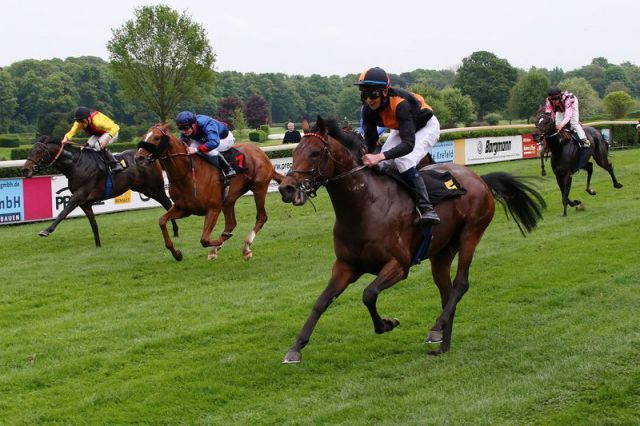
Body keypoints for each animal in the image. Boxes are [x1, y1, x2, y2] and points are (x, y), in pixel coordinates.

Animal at [22, 135, 178, 248]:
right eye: (30, 150)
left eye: (39, 151)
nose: (25, 169)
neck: (75, 165)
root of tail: (150, 157)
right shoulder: (85, 203)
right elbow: (94, 225)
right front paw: (98, 245)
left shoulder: (79, 195)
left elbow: (63, 212)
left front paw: (46, 230)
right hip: (144, 189)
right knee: (164, 203)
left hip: (155, 186)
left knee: (167, 202)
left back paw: (175, 230)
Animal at [134, 123, 284, 262]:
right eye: (144, 136)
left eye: (157, 137)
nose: (138, 157)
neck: (186, 173)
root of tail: (260, 152)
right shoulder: (183, 209)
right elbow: (162, 221)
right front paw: (177, 253)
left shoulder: (213, 208)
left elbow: (204, 239)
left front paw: (220, 241)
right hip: (228, 200)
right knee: (231, 223)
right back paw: (217, 248)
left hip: (259, 188)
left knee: (261, 217)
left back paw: (246, 248)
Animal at [276, 116, 544, 362]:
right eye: (294, 151)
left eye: (315, 153)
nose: (286, 188)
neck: (365, 206)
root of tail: (480, 179)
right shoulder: (346, 266)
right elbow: (321, 302)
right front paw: (295, 348)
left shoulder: (399, 265)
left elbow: (368, 294)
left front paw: (387, 323)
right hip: (442, 252)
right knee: (447, 293)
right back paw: (442, 343)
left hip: (472, 233)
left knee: (460, 285)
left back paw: (435, 329)